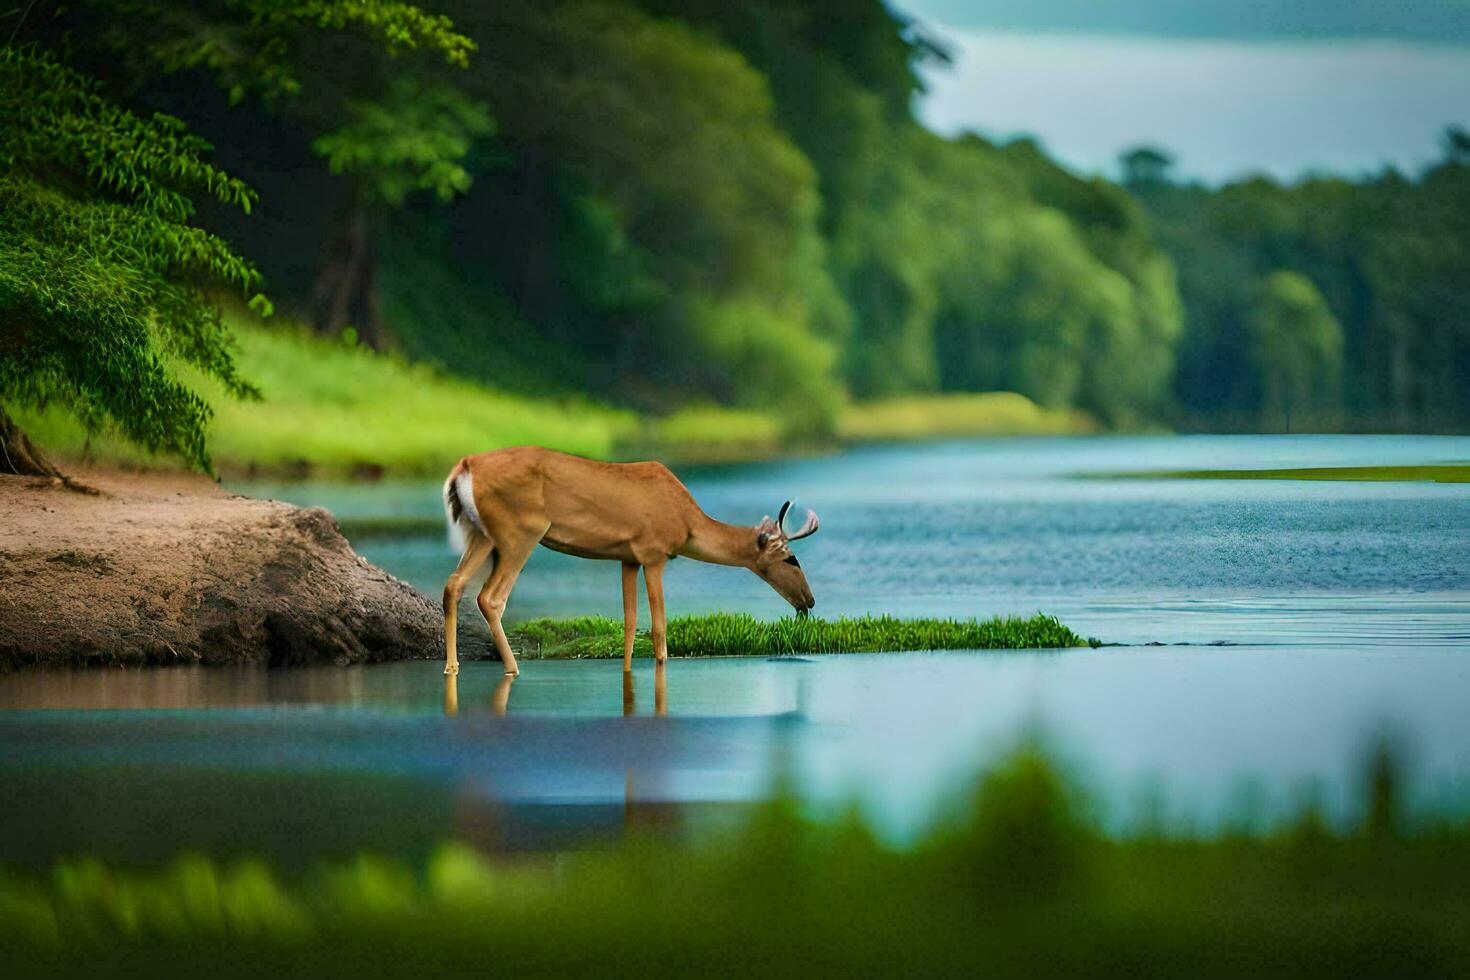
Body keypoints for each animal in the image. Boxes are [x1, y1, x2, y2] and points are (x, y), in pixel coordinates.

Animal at [441, 443, 823, 675]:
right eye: (792, 559)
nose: (809, 601)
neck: (686, 522)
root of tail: (463, 468)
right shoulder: (654, 553)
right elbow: (658, 626)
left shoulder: (628, 558)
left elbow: (628, 622)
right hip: (520, 532)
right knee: (491, 597)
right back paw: (512, 668)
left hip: (482, 534)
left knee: (454, 585)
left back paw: (452, 667)